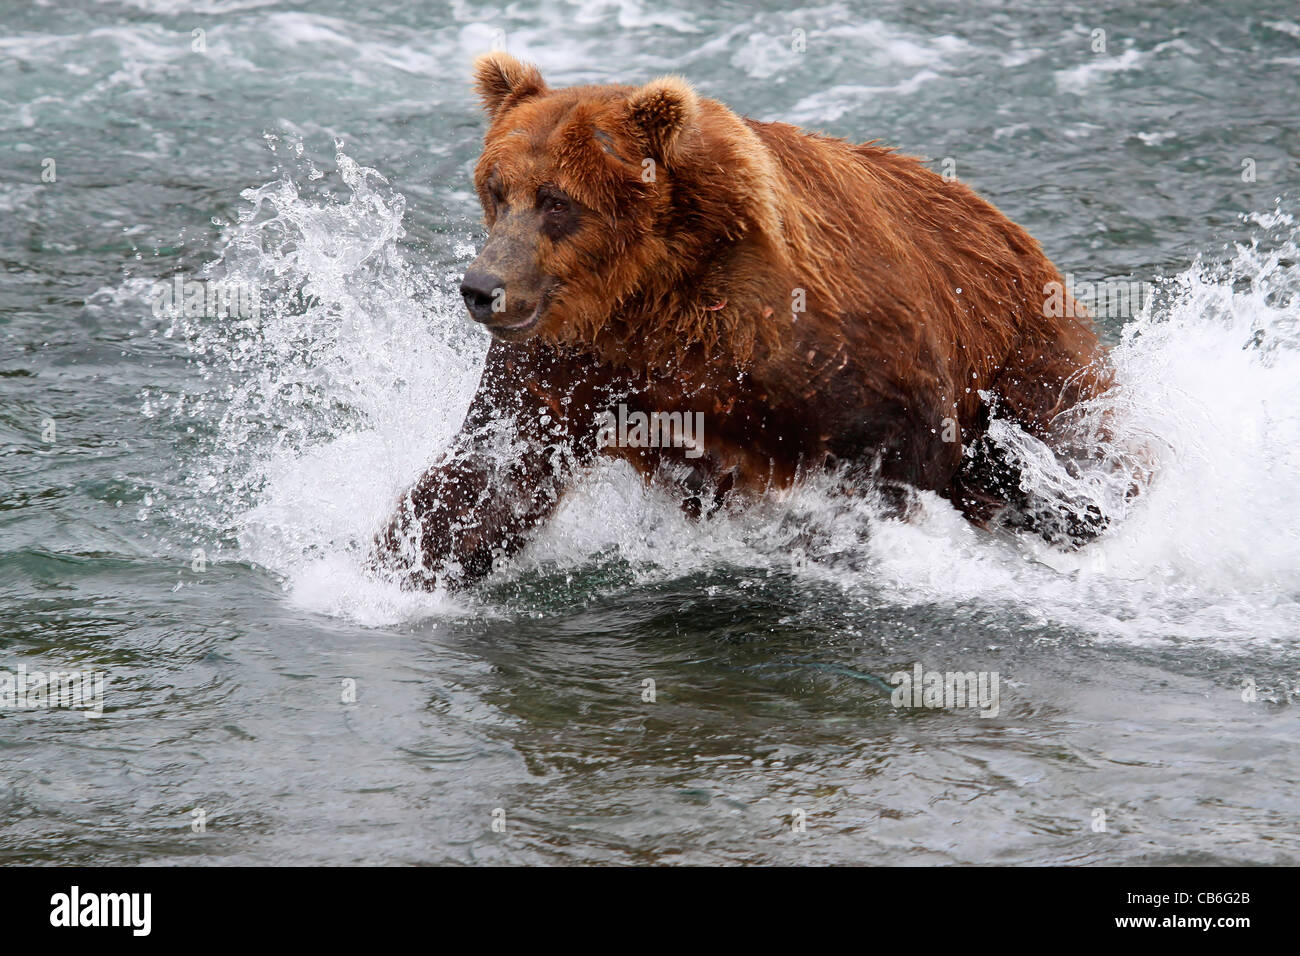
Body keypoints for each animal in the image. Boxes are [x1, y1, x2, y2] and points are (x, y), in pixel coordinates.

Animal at [374, 54, 1118, 590]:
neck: (657, 298)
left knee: (1069, 454)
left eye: (558, 201)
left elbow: (901, 449)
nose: (482, 288)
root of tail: (1023, 240)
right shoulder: (576, 360)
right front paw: (390, 564)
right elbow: (492, 472)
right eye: (497, 190)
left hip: (1028, 354)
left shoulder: (826, 342)